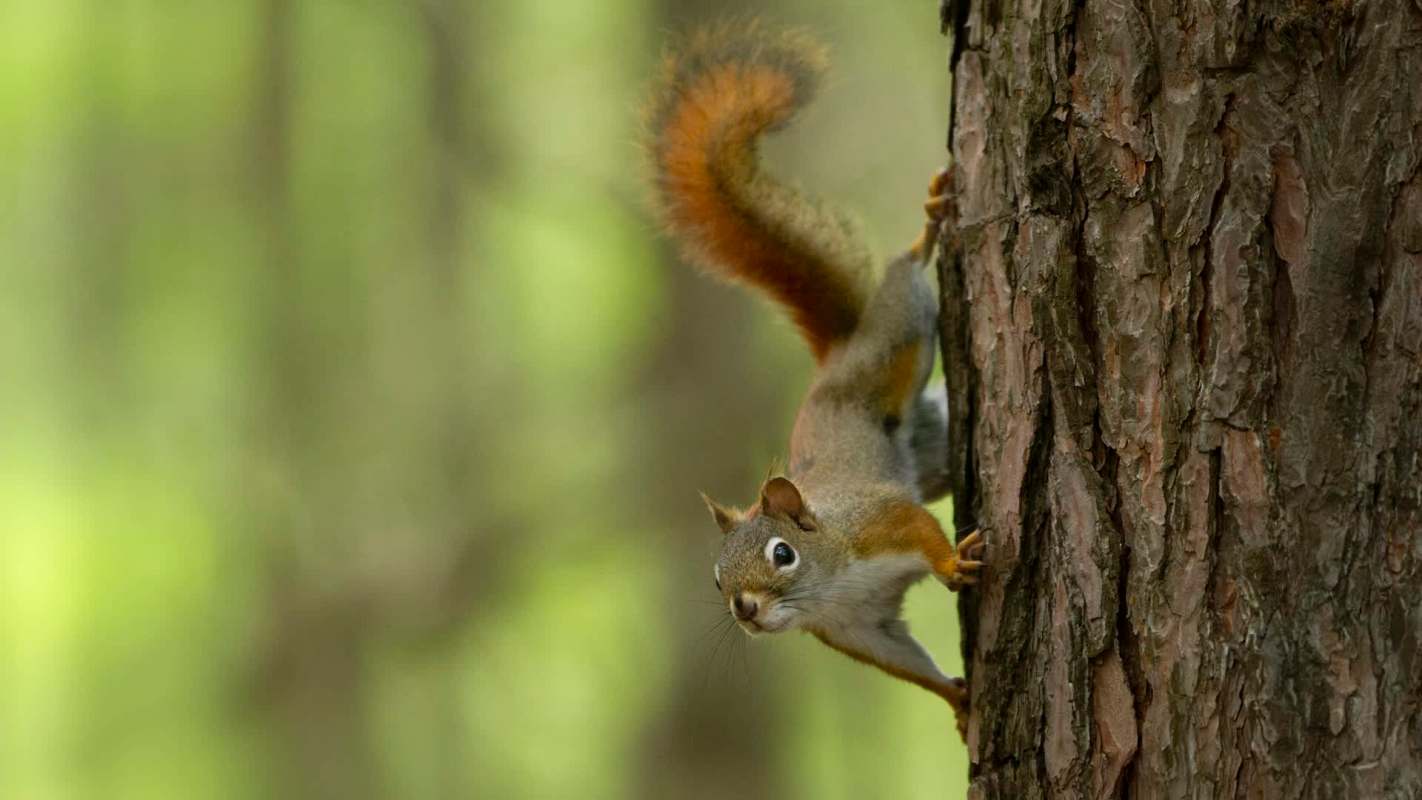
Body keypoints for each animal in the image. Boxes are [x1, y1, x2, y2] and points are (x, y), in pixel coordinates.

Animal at [644, 20, 984, 735]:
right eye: (716, 578)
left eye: (782, 554)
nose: (745, 610)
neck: (830, 584)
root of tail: (835, 353)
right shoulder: (860, 629)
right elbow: (908, 663)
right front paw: (959, 700)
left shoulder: (878, 521)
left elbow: (919, 526)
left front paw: (952, 562)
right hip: (932, 446)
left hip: (896, 338)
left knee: (904, 277)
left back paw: (928, 226)